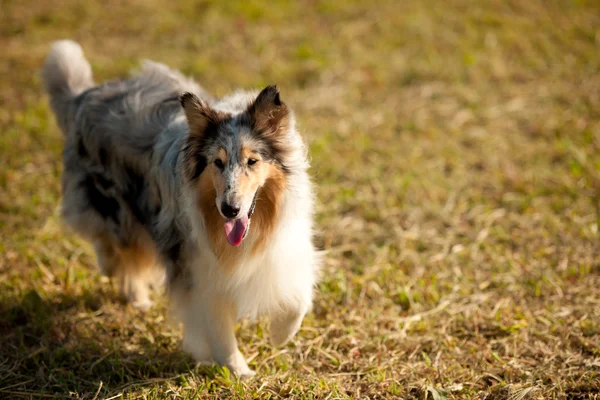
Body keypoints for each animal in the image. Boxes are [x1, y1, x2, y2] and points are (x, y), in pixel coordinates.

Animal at [41, 39, 318, 376]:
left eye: (252, 161)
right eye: (217, 162)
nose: (229, 209)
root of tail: (84, 96)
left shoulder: (282, 250)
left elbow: (298, 300)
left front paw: (280, 336)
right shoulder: (197, 270)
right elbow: (218, 327)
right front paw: (238, 371)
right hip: (117, 212)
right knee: (111, 244)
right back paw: (123, 280)